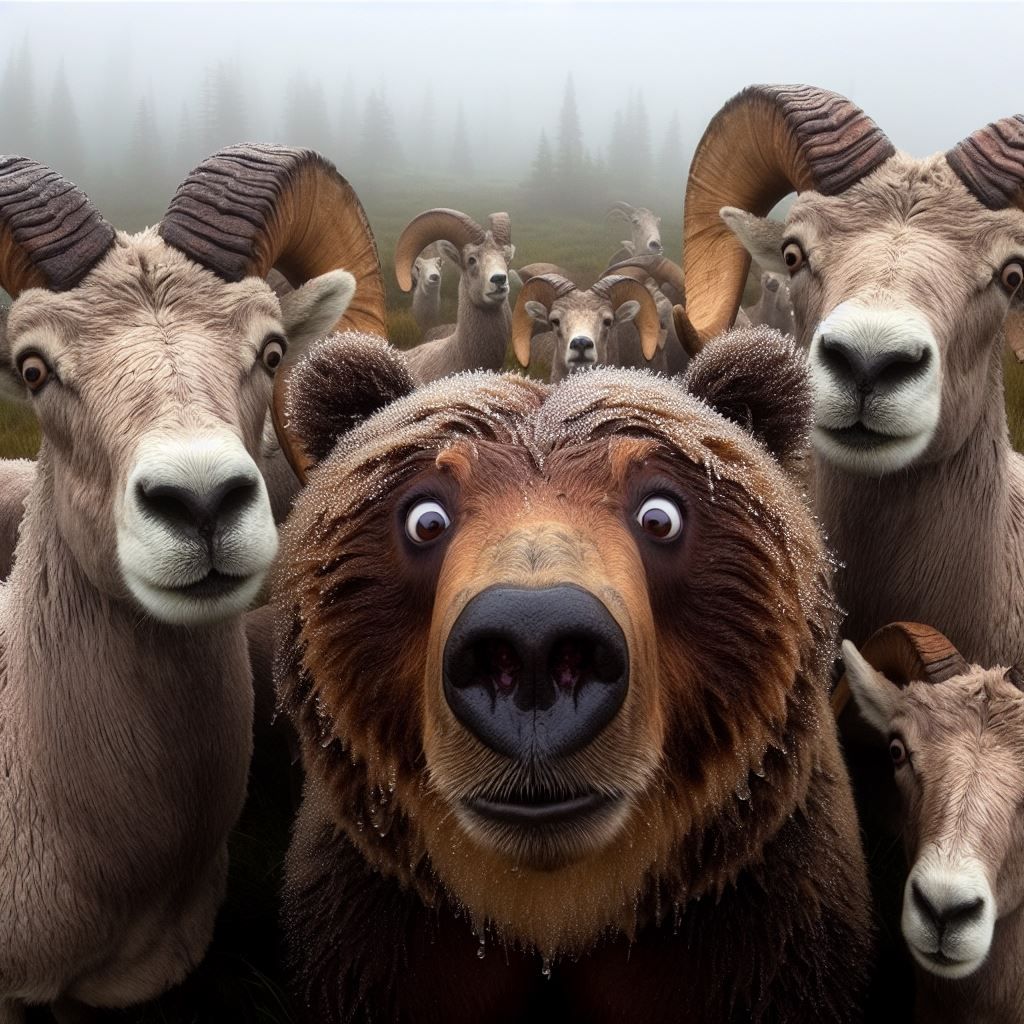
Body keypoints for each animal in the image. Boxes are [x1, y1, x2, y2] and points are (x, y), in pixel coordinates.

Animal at [271, 326, 872, 1023]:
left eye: (660, 514)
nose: (533, 644)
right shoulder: (373, 933)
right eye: (424, 517)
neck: (555, 913)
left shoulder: (765, 930)